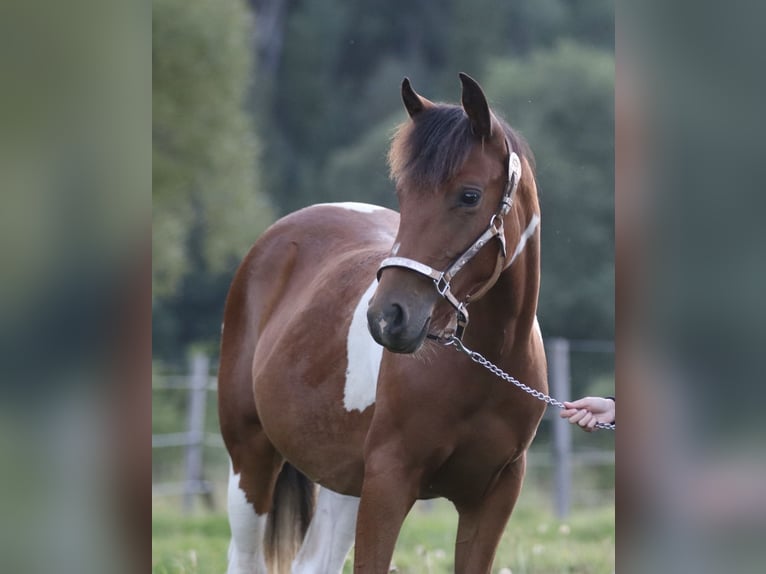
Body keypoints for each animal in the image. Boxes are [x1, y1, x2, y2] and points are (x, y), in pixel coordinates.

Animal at [218, 73, 547, 574]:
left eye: (469, 195)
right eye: (403, 196)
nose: (388, 317)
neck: (486, 368)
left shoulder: (493, 496)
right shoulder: (388, 484)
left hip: (342, 481)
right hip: (250, 457)